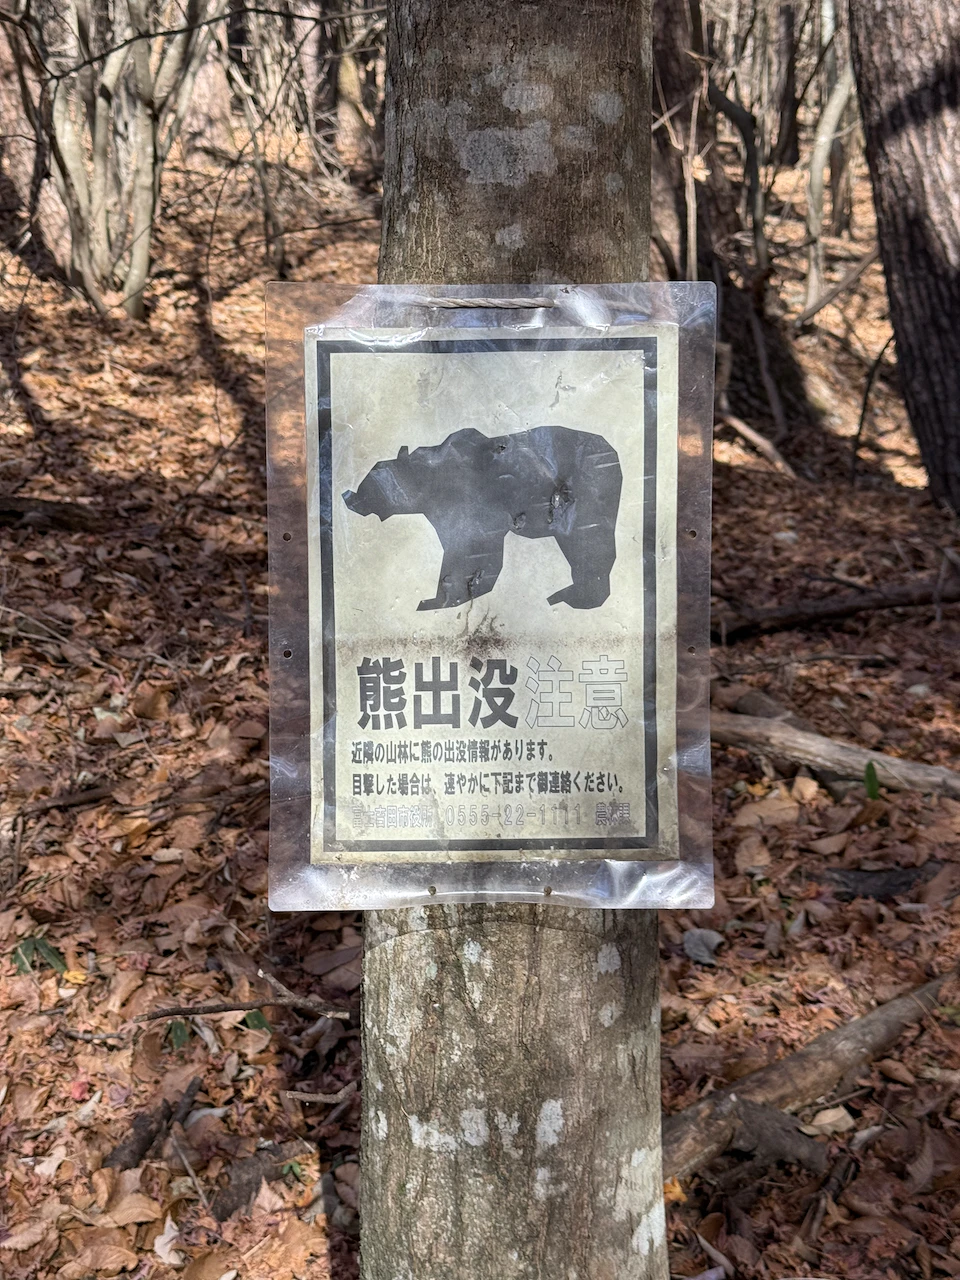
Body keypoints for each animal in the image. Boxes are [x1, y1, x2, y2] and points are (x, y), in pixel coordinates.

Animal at [342, 424, 621, 611]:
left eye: (368, 480)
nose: (348, 496)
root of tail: (611, 450)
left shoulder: (466, 506)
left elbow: (468, 552)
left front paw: (436, 599)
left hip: (589, 489)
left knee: (589, 543)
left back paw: (574, 596)